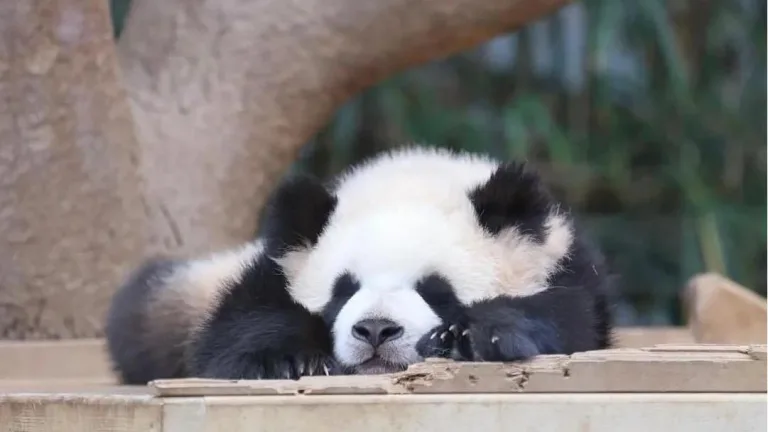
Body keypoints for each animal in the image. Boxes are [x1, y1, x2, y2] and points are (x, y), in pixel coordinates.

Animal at [105, 145, 614, 384]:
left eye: (436, 291)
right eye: (343, 290)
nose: (375, 330)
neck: (414, 176)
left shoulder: (567, 269)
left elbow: (565, 319)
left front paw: (469, 335)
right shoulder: (271, 268)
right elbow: (235, 328)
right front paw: (286, 358)